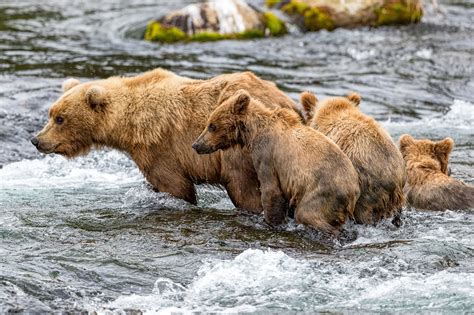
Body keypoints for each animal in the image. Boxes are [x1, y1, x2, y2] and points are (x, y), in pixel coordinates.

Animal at [32, 69, 300, 212]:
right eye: (51, 113)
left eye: (60, 118)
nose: (37, 140)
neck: (128, 124)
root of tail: (287, 101)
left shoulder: (160, 148)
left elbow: (175, 186)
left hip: (238, 152)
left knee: (243, 188)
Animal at [192, 90, 360, 236]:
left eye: (212, 126)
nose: (196, 144)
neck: (253, 133)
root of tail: (353, 190)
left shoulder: (267, 155)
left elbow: (271, 191)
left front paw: (270, 222)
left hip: (321, 191)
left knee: (307, 213)